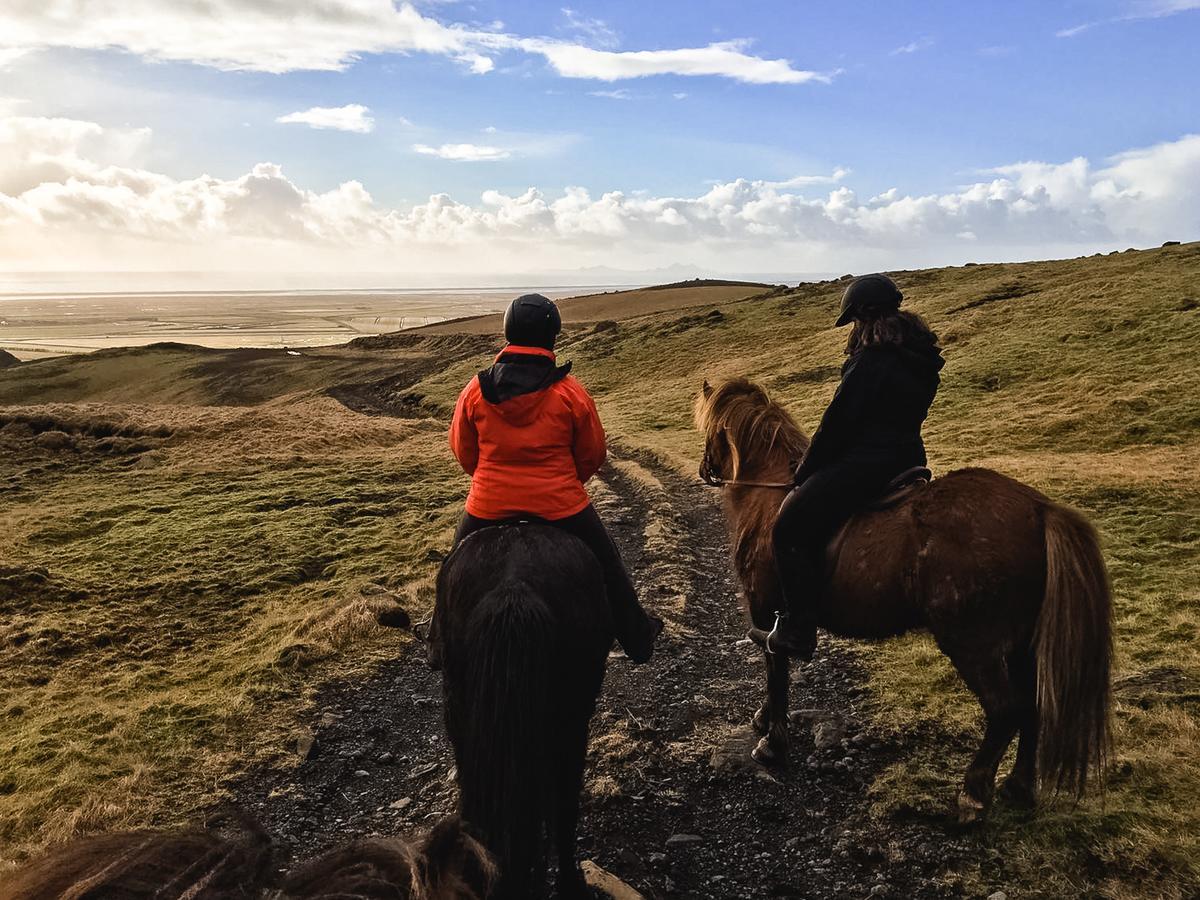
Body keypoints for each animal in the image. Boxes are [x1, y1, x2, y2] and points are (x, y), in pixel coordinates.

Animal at [696, 379, 1113, 825]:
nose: (706, 469)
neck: (768, 495)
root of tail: (1040, 509)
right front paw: (763, 720)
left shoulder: (766, 610)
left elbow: (776, 671)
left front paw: (773, 744)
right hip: (1021, 643)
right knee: (1033, 705)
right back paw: (1018, 787)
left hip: (973, 644)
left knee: (1005, 710)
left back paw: (972, 795)